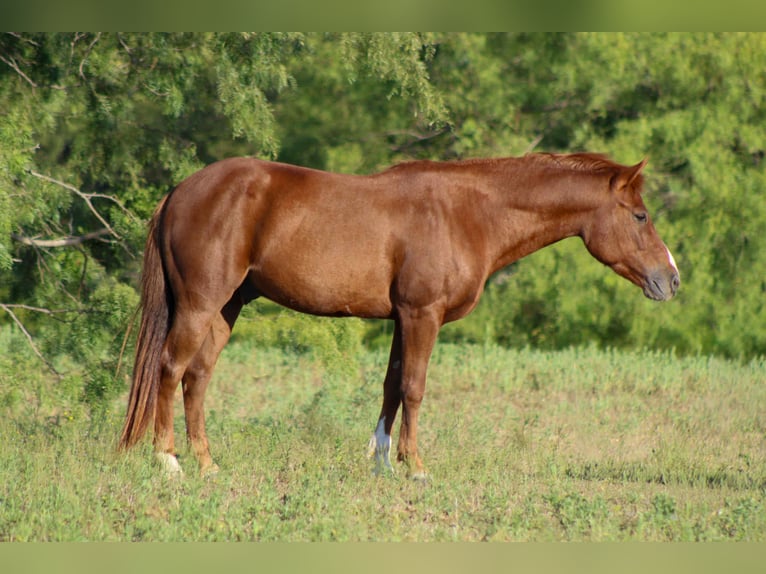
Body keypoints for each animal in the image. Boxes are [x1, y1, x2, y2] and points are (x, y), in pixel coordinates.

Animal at [118, 152, 679, 479]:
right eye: (640, 215)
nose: (671, 279)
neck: (468, 213)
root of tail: (180, 191)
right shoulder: (421, 315)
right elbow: (413, 387)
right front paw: (415, 467)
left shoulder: (401, 319)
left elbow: (390, 385)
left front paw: (382, 461)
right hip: (200, 304)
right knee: (170, 369)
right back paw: (169, 463)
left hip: (226, 308)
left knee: (197, 377)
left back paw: (208, 464)